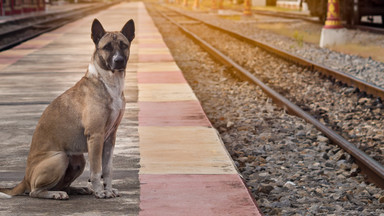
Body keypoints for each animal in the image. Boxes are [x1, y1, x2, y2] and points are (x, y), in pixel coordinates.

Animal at [0, 18, 135, 199]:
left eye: (123, 45)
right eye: (106, 47)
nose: (119, 60)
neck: (109, 82)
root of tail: (25, 179)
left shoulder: (110, 138)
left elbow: (107, 170)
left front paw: (108, 189)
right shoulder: (96, 136)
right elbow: (96, 170)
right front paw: (100, 192)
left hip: (78, 160)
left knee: (63, 185)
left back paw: (78, 189)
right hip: (60, 158)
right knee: (35, 191)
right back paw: (55, 194)